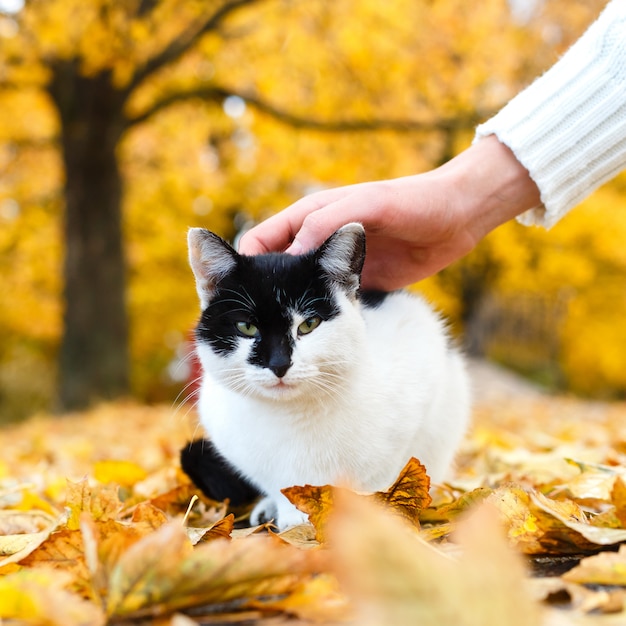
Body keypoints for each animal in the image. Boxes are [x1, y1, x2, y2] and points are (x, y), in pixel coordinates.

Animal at [184, 223, 468, 528]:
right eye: (246, 327)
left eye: (309, 324)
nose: (279, 364)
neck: (290, 415)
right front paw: (291, 516)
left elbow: (383, 480)